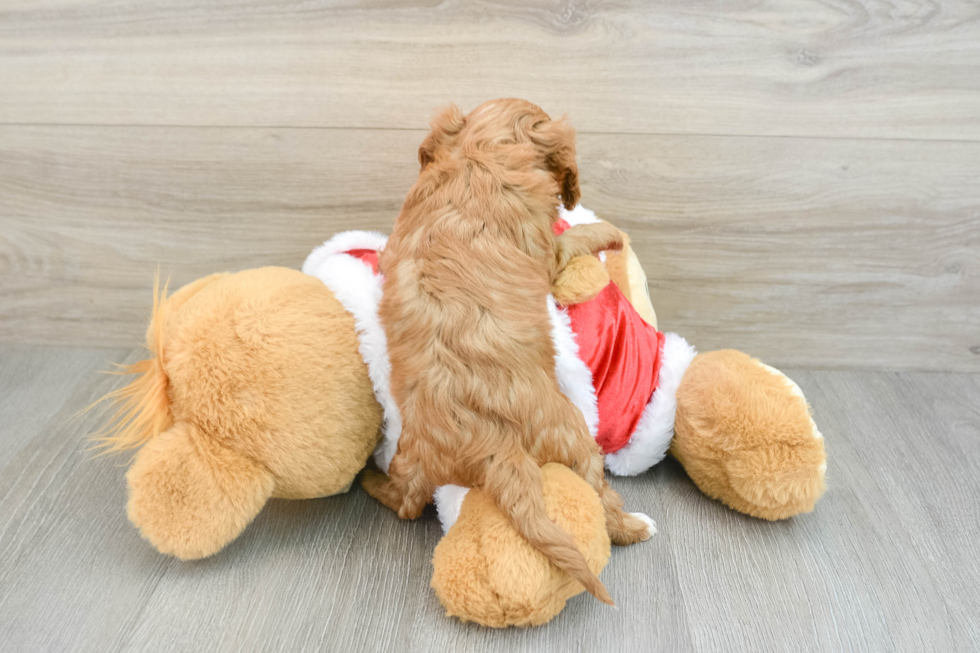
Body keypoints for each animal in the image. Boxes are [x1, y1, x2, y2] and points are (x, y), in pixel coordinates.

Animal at [364, 99, 656, 604]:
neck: (479, 151)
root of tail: (490, 444)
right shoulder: (550, 251)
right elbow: (574, 237)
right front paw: (607, 230)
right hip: (574, 435)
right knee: (600, 495)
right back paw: (636, 526)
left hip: (410, 457)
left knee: (404, 502)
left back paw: (373, 481)